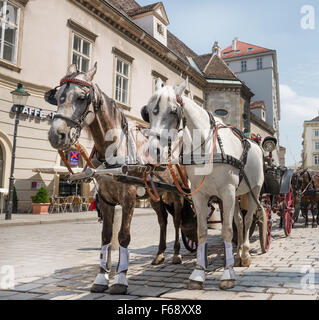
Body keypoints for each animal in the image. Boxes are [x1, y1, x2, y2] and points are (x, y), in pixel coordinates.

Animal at [47, 63, 198, 296]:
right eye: (57, 97)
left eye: (81, 97)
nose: (56, 135)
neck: (113, 149)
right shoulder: (106, 200)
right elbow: (106, 237)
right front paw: (101, 277)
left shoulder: (128, 199)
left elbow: (123, 236)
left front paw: (120, 278)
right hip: (155, 197)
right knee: (163, 221)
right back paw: (160, 254)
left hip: (178, 194)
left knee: (177, 221)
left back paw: (175, 254)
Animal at [142, 78, 264, 290]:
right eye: (148, 112)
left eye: (173, 111)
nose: (152, 151)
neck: (207, 148)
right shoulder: (200, 195)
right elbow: (202, 232)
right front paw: (198, 272)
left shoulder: (227, 193)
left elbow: (226, 231)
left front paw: (228, 273)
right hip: (237, 194)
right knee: (240, 221)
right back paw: (238, 254)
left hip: (252, 191)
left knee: (248, 220)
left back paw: (246, 254)